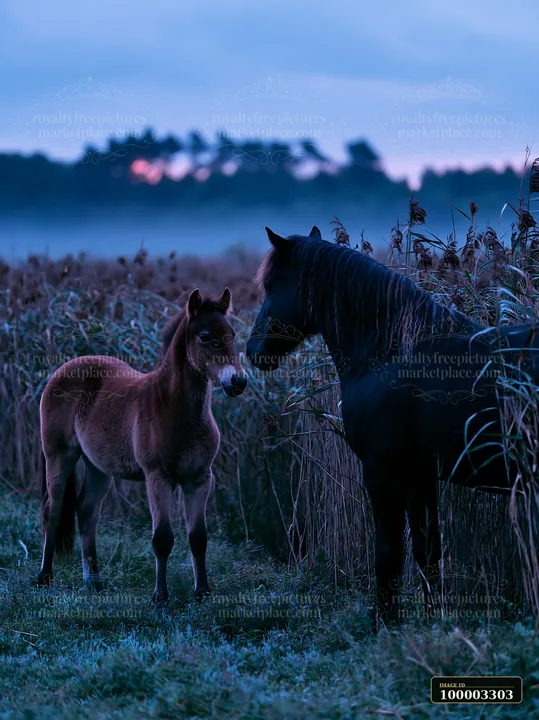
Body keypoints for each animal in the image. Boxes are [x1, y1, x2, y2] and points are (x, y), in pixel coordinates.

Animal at [37, 287, 247, 606]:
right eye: (204, 336)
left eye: (232, 333)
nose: (238, 381)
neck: (174, 409)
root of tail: (65, 368)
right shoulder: (157, 476)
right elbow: (162, 538)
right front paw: (160, 597)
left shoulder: (199, 478)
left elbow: (198, 537)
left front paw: (202, 592)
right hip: (59, 455)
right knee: (54, 508)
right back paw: (44, 577)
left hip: (98, 466)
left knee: (86, 512)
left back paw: (94, 582)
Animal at [246, 227, 539, 623]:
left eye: (272, 283)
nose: (253, 351)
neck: (390, 353)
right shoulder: (420, 474)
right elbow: (427, 552)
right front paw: (433, 623)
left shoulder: (382, 470)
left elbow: (387, 553)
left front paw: (385, 624)